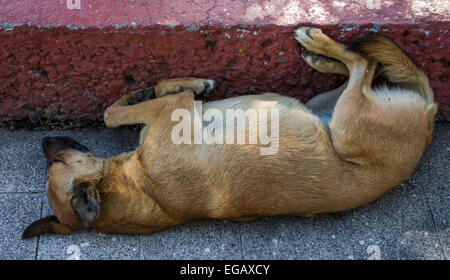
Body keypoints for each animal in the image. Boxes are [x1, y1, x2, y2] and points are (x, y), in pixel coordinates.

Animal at [22, 26, 436, 238]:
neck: (140, 186)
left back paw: (318, 52)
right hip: (346, 120)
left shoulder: (168, 111)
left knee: (363, 65)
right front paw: (181, 86)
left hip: (330, 109)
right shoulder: (174, 111)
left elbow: (127, 105)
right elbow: (111, 114)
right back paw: (317, 46)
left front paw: (154, 88)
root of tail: (430, 117)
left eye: (53, 160)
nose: (43, 140)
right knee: (363, 64)